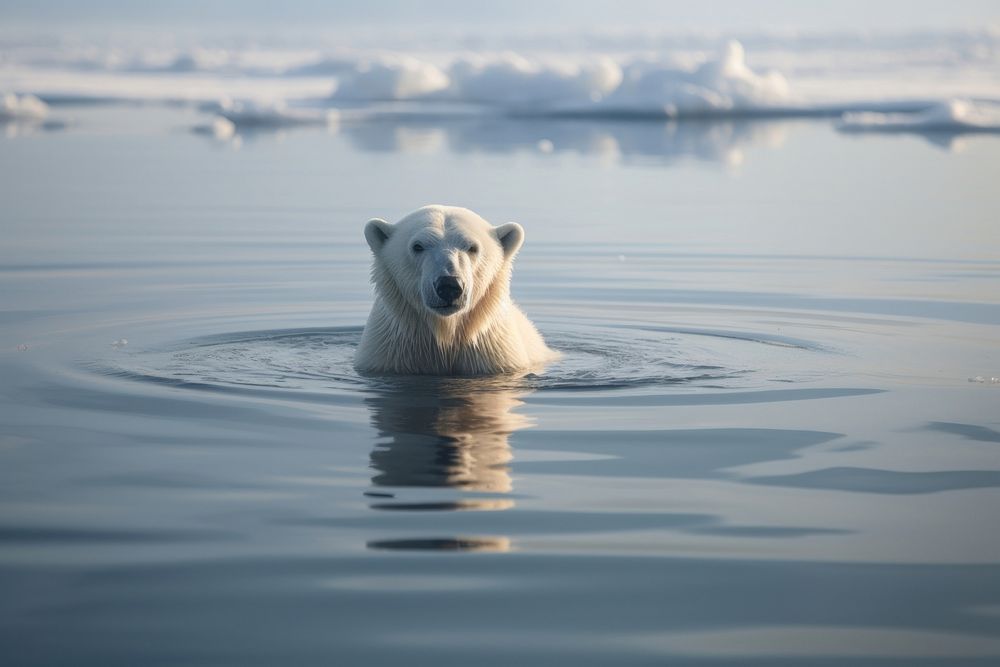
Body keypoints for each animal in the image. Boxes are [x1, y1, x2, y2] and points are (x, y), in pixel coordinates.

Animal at [354, 204, 560, 376]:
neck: (446, 334)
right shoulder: (390, 356)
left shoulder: (492, 356)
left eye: (472, 247)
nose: (449, 285)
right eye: (417, 246)